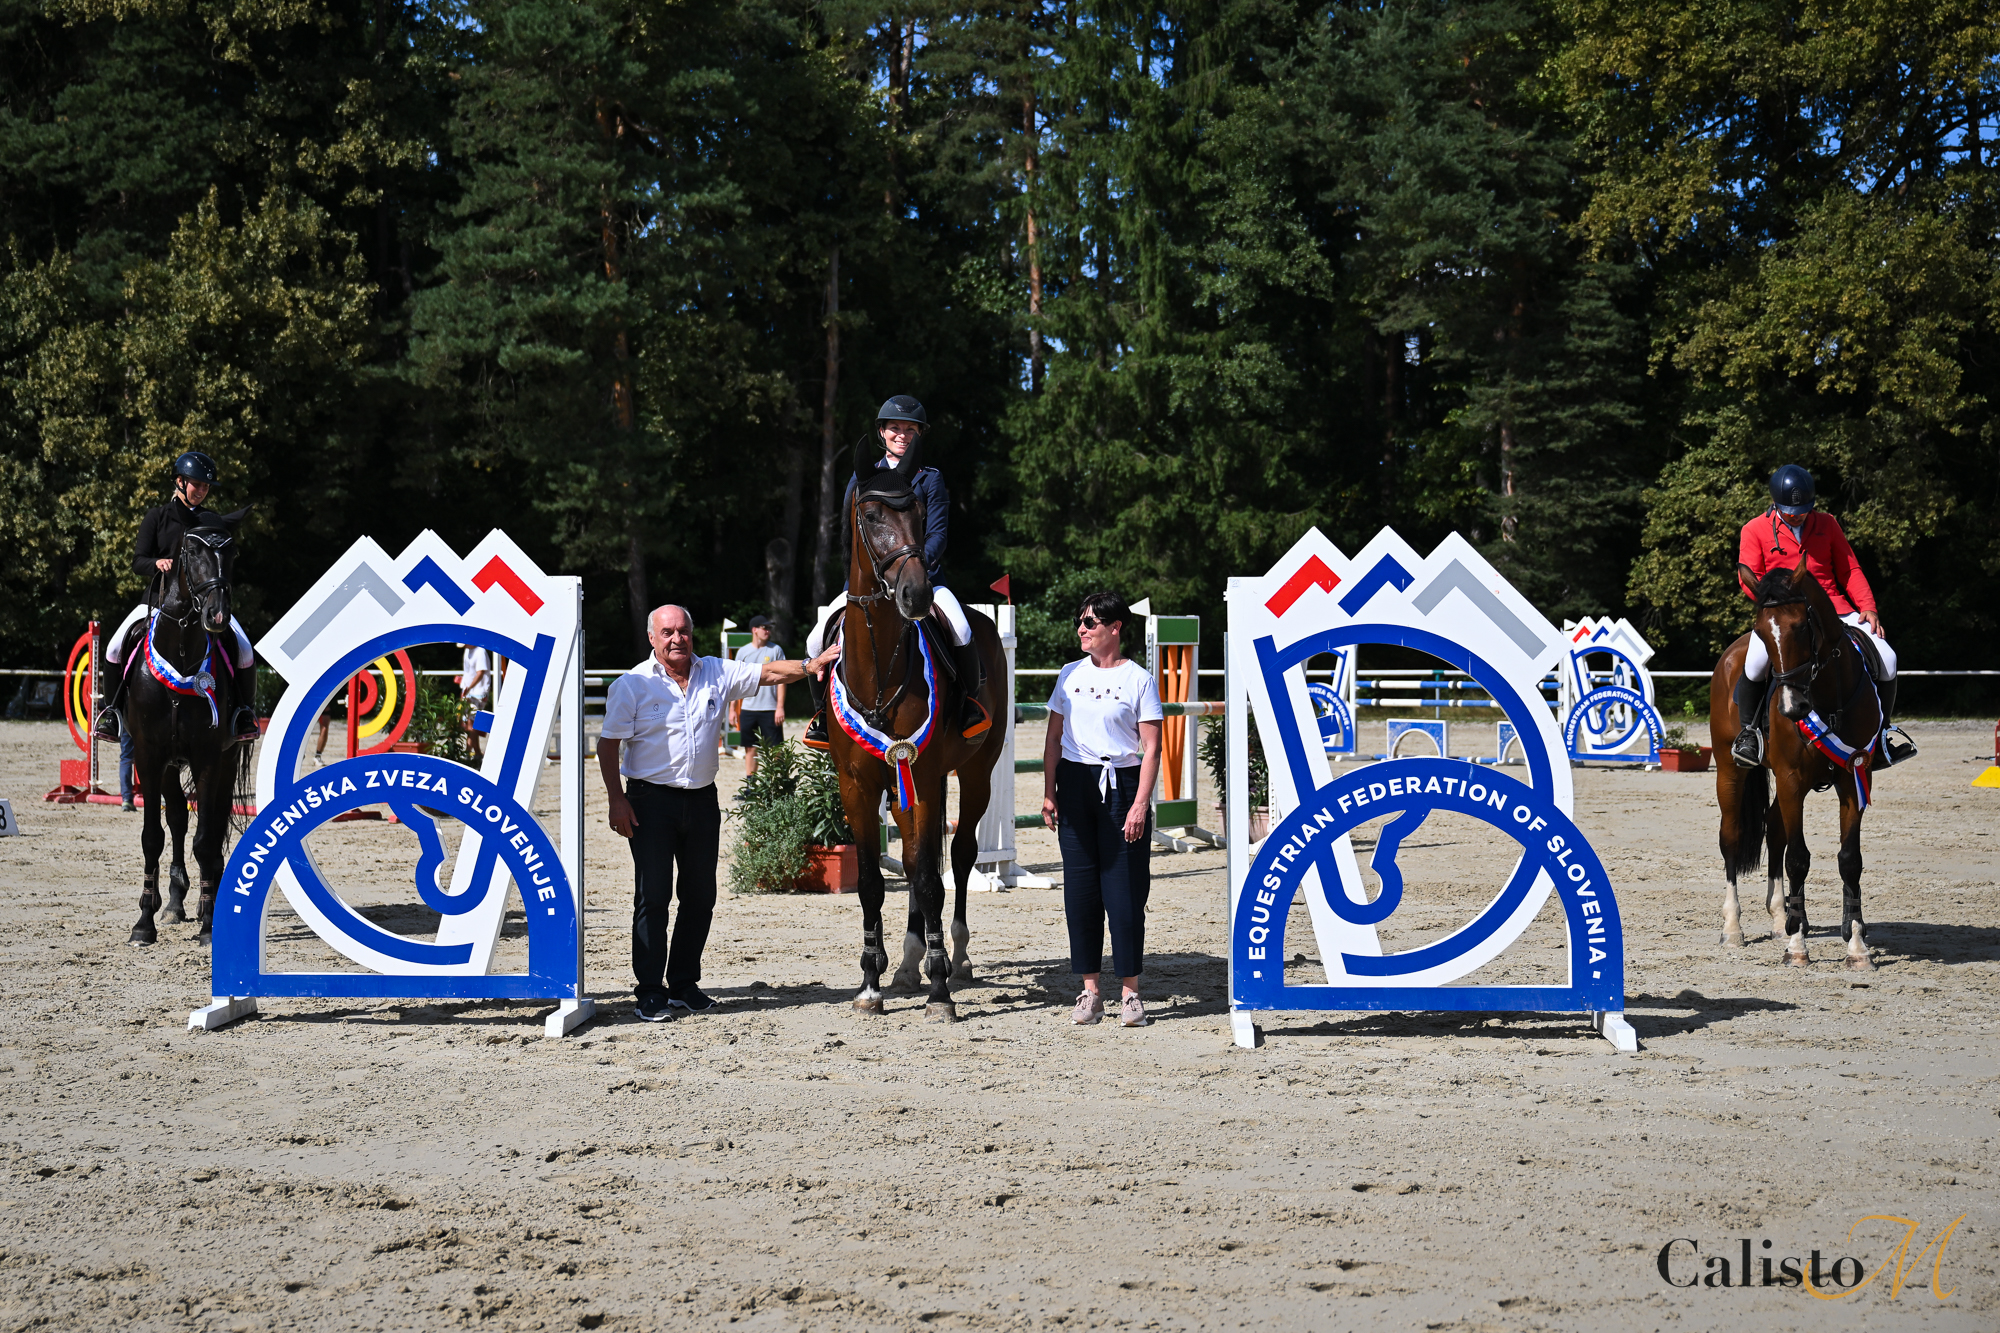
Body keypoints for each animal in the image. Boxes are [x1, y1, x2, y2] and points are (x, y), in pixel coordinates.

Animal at [121, 521, 256, 946]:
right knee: (179, 817)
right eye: (191, 553)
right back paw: (175, 902)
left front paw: (210, 924)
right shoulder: (149, 755)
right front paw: (143, 923)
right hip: (167, 765)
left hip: (226, 758)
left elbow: (206, 838)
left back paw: (201, 900)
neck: (180, 650)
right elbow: (153, 836)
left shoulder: (209, 757)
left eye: (231, 554)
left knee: (212, 821)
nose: (218, 615)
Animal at [825, 436, 1008, 1020]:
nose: (916, 595)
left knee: (959, 856)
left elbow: (930, 876)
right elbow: (871, 881)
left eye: (921, 514)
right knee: (907, 860)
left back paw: (956, 956)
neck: (879, 667)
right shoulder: (859, 784)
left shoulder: (923, 775)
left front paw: (940, 988)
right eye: (869, 514)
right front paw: (871, 983)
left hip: (975, 773)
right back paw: (907, 965)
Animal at [1709, 557, 1881, 970]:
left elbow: (1849, 859)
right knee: (1731, 837)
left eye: (1802, 625)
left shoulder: (1855, 777)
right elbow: (1799, 858)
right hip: (1729, 771)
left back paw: (1778, 918)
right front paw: (1798, 946)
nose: (1791, 708)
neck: (1826, 696)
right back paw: (1733, 928)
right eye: (1762, 632)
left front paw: (1856, 945)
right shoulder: (1790, 780)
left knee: (1774, 828)